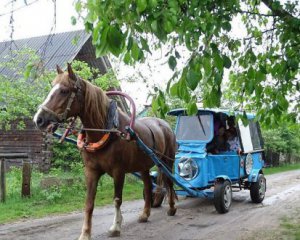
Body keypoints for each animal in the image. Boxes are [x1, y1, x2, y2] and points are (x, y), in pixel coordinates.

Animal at [33, 64, 177, 240]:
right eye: (52, 87)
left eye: (64, 91)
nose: (38, 119)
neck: (107, 130)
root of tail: (164, 124)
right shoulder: (91, 171)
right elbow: (89, 203)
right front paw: (85, 233)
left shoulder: (118, 171)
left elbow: (117, 199)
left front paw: (116, 226)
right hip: (143, 166)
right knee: (148, 185)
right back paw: (145, 214)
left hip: (167, 161)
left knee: (169, 182)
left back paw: (172, 207)